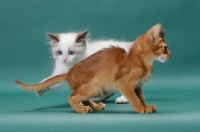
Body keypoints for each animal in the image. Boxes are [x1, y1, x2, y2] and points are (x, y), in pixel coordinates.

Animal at [14, 23, 170, 113]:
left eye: (72, 52)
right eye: (59, 52)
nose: (64, 59)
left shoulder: (133, 85)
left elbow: (138, 98)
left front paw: (144, 107)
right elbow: (50, 80)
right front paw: (39, 89)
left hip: (95, 85)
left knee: (79, 96)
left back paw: (102, 103)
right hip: (94, 85)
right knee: (75, 96)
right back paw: (87, 106)